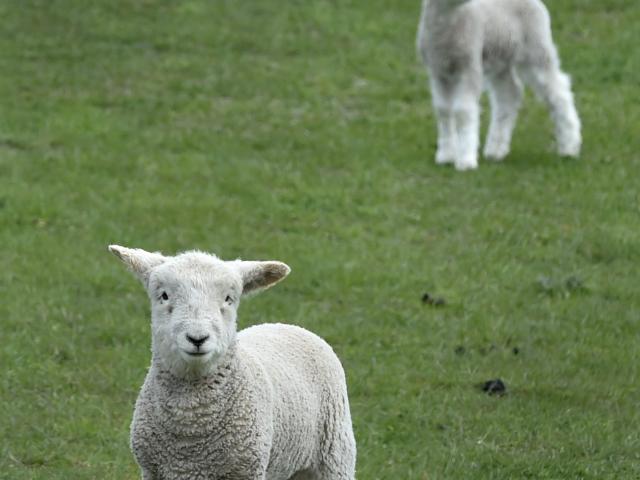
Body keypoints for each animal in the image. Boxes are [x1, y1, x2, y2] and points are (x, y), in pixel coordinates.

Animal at [108, 245, 356, 480]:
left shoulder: (247, 469)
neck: (190, 426)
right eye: (164, 296)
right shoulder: (152, 470)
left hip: (335, 455)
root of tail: (288, 325)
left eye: (229, 299)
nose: (197, 339)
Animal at [417, 0, 582, 170]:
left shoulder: (470, 68)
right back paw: (496, 150)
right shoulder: (438, 72)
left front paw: (466, 160)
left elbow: (463, 111)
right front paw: (446, 155)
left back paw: (569, 147)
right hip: (501, 59)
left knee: (559, 92)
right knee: (509, 95)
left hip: (536, 48)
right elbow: (443, 110)